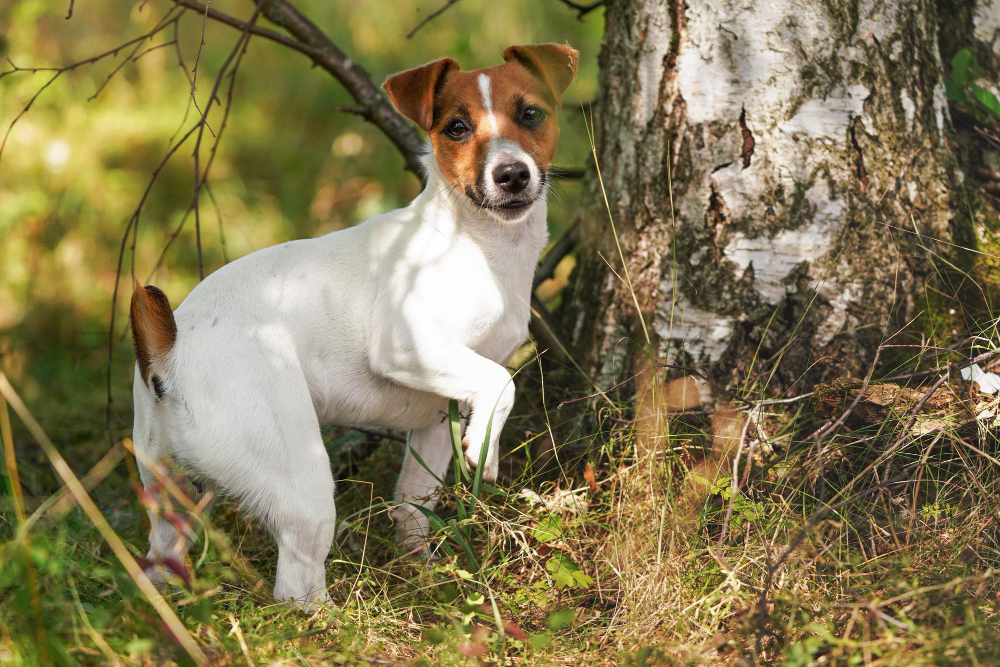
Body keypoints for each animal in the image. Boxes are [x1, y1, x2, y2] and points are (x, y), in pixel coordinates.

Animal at [129, 43, 578, 607]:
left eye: (531, 114)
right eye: (456, 127)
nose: (512, 174)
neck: (476, 243)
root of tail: (170, 351)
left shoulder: (437, 417)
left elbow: (411, 505)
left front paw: (424, 572)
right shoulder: (407, 347)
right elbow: (501, 381)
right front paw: (485, 448)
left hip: (171, 496)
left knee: (159, 562)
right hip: (303, 484)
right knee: (295, 587)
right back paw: (331, 619)